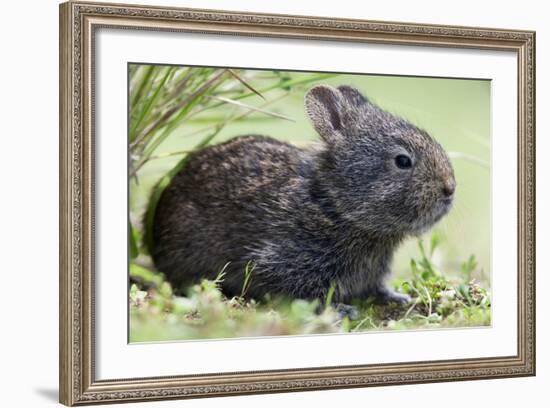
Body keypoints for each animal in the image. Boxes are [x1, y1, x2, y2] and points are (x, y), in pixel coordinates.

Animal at [152, 84, 458, 310]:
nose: (450, 188)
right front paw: (341, 310)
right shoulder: (284, 261)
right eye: (403, 161)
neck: (333, 205)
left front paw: (397, 297)